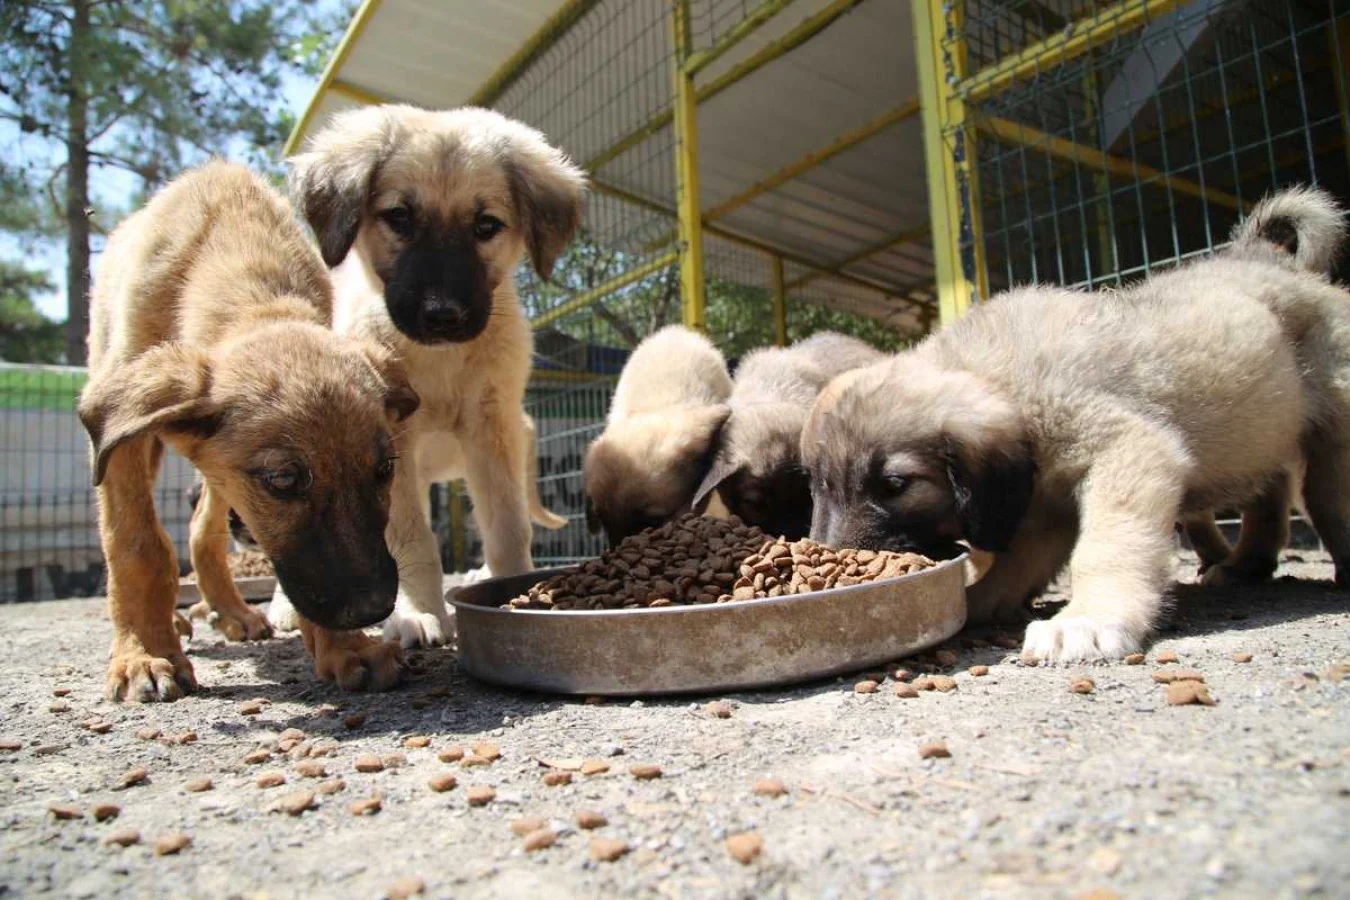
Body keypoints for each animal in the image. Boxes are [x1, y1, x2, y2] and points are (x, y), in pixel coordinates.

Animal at [78, 161, 415, 701]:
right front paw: (145, 654)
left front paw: (347, 648)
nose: (374, 608)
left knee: (202, 530)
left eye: (385, 469)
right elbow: (137, 546)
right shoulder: (122, 436)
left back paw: (232, 612)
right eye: (283, 480)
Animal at [287, 105, 583, 647]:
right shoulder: (392, 446)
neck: (441, 363)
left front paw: (515, 591)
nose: (442, 315)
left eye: (486, 225)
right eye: (400, 217)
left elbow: (508, 527)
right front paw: (419, 613)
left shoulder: (491, 429)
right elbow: (412, 538)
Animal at [799, 188, 1350, 661]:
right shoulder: (1044, 505)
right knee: (1270, 491)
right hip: (1263, 428)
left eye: (895, 485)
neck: (1004, 378)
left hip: (1330, 427)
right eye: (819, 485)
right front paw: (977, 602)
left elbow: (1105, 544)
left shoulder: (1127, 451)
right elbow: (1016, 562)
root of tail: (1265, 258)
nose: (833, 555)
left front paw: (1088, 618)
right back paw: (1245, 565)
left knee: (1325, 496)